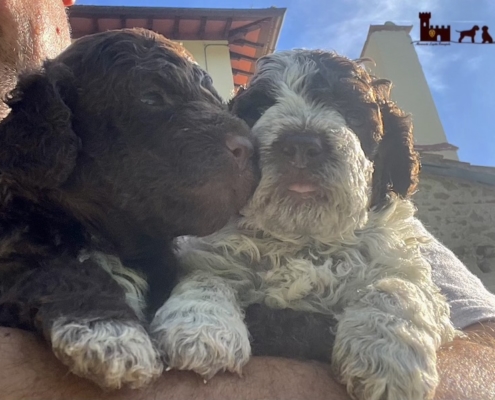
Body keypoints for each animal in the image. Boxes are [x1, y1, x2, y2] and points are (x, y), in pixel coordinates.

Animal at [0, 28, 256, 390]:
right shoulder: (13, 249)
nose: (250, 148)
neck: (118, 242)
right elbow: (59, 272)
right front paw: (111, 334)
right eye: (150, 98)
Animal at [152, 50, 462, 400]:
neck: (304, 240)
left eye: (351, 113)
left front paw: (388, 355)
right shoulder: (214, 254)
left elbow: (395, 286)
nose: (301, 144)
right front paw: (199, 329)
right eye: (259, 109)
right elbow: (209, 276)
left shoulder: (403, 265)